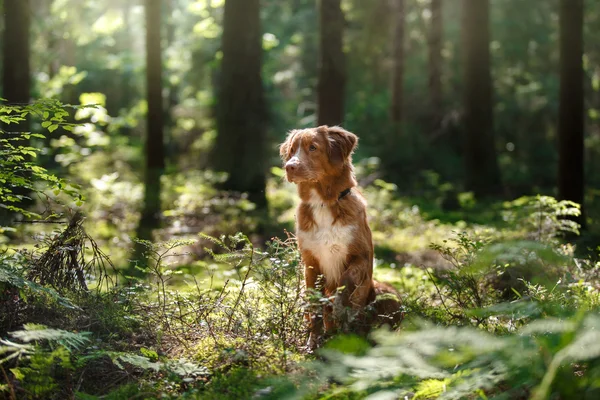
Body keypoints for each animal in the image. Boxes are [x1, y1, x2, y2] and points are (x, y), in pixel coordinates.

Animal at [282, 125, 404, 346]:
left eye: (313, 147)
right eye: (292, 150)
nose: (289, 167)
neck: (323, 203)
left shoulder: (361, 256)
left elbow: (346, 281)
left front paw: (337, 302)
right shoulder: (310, 263)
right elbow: (314, 305)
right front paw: (313, 342)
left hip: (389, 294)